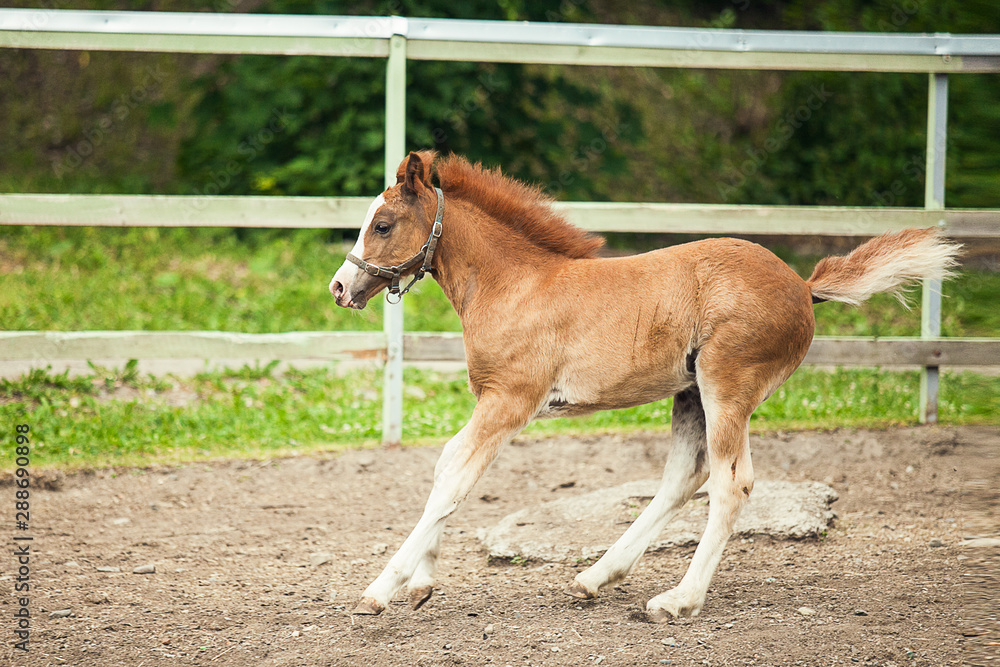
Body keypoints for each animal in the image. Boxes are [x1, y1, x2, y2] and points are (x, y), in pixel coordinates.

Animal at [329, 150, 959, 621]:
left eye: (382, 225)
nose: (339, 287)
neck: (515, 284)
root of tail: (803, 286)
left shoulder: (510, 399)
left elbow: (453, 480)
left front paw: (380, 591)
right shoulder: (494, 401)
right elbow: (446, 469)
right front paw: (420, 585)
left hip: (728, 387)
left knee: (731, 484)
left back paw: (677, 601)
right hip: (691, 393)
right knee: (684, 479)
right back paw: (595, 577)